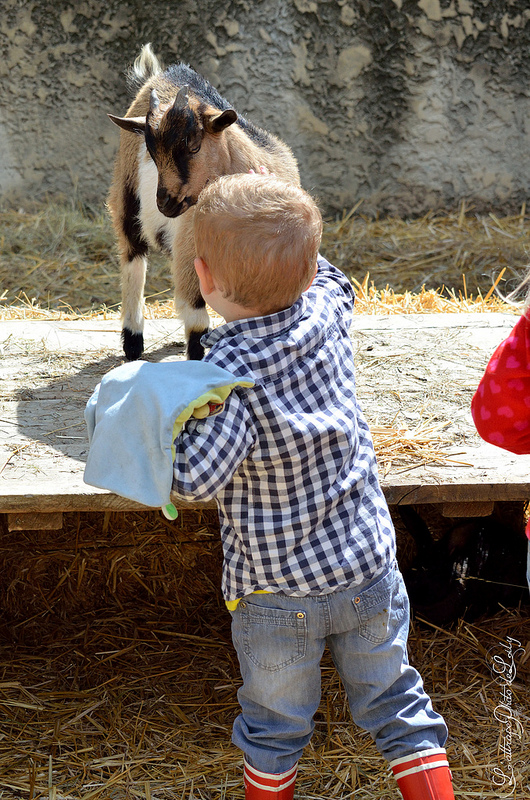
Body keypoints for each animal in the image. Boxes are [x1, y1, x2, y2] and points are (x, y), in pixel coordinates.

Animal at [106, 46, 302, 360]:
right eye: (151, 152)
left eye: (194, 146)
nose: (165, 203)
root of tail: (158, 75)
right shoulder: (190, 246)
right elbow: (196, 316)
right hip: (126, 197)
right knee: (133, 258)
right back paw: (133, 341)